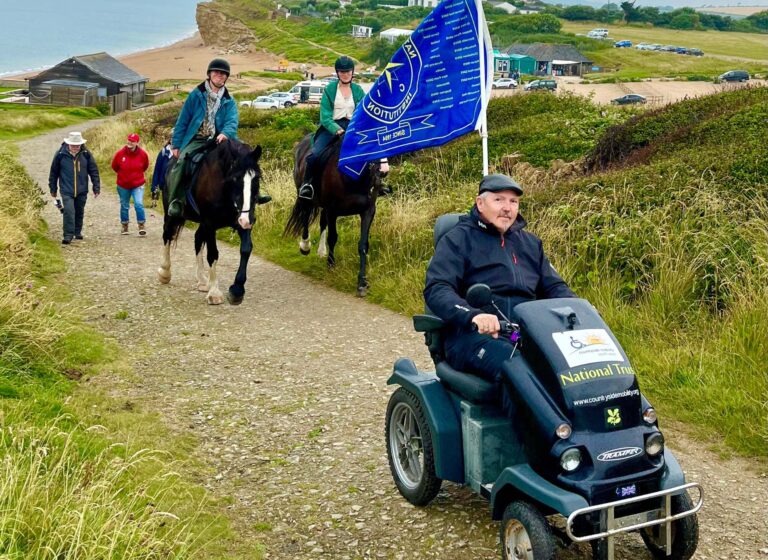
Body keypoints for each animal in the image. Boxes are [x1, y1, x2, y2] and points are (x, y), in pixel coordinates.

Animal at [158, 140, 262, 306]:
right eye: (235, 179)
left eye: (256, 179)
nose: (247, 220)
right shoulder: (210, 223)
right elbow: (213, 254)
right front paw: (214, 292)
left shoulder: (242, 220)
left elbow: (246, 249)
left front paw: (237, 289)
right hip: (172, 214)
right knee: (167, 235)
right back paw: (165, 272)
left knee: (197, 238)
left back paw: (201, 280)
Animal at [284, 133, 380, 298]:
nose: (382, 171)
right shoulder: (332, 210)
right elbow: (333, 238)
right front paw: (331, 266)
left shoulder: (368, 211)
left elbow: (363, 245)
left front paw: (362, 283)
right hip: (304, 195)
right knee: (305, 217)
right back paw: (305, 246)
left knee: (322, 222)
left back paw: (321, 251)